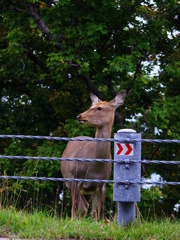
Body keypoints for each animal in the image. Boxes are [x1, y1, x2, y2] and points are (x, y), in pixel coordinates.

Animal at [60, 90, 125, 219]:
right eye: (91, 106)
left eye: (99, 108)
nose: (79, 116)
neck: (95, 167)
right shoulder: (76, 178)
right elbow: (74, 208)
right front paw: (72, 221)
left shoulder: (102, 183)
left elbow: (99, 212)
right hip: (69, 181)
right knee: (81, 206)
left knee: (86, 206)